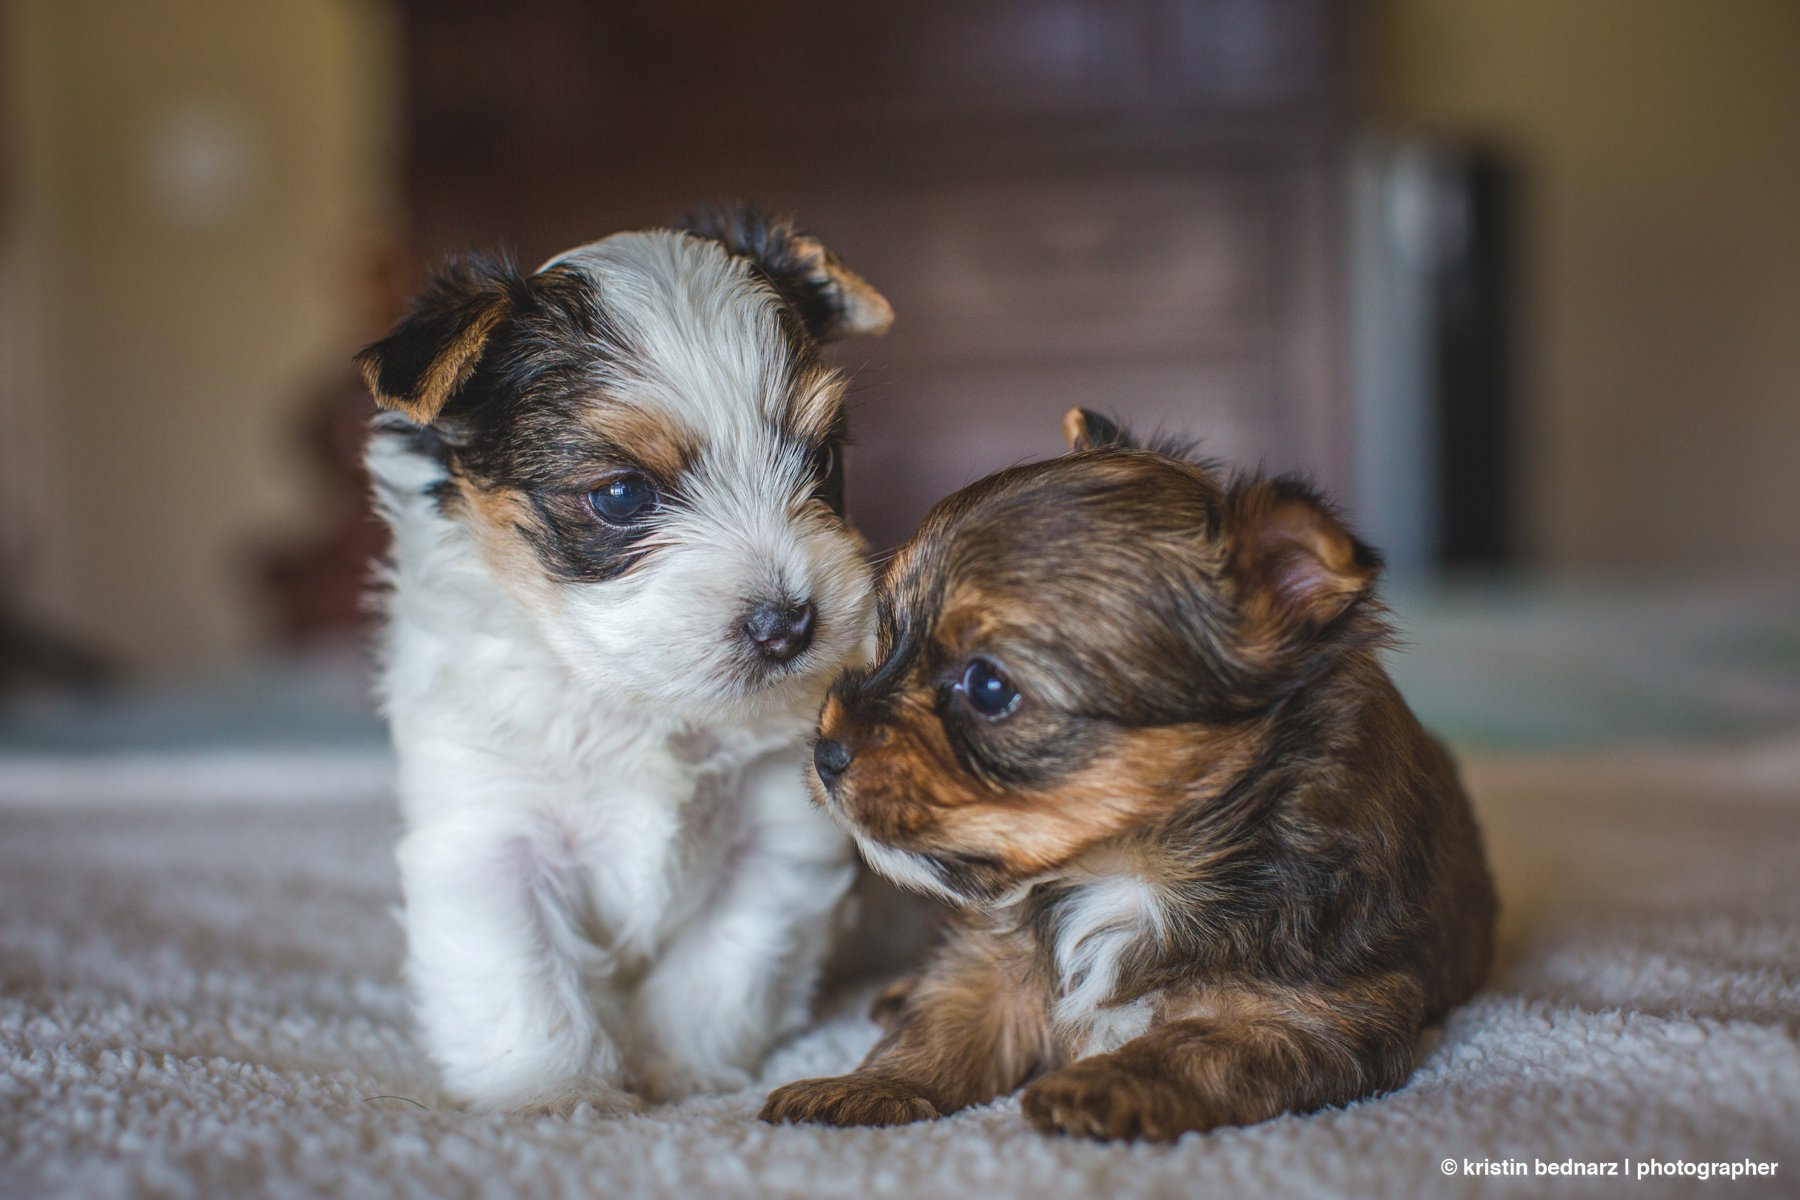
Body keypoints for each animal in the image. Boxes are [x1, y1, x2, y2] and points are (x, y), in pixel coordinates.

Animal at [356, 208, 892, 1115]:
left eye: (820, 461)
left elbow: (724, 962)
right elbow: (522, 972)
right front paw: (554, 1094)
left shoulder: (773, 842)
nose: (790, 623)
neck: (636, 699)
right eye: (620, 495)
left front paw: (679, 1072)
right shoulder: (488, 830)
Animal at [763, 413, 1504, 1144]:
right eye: (887, 642)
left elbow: (1197, 1046)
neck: (1124, 871)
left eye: (989, 687)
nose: (826, 751)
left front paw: (1104, 1082)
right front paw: (865, 1086)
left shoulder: (1316, 1011)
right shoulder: (989, 957)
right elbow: (943, 1023)